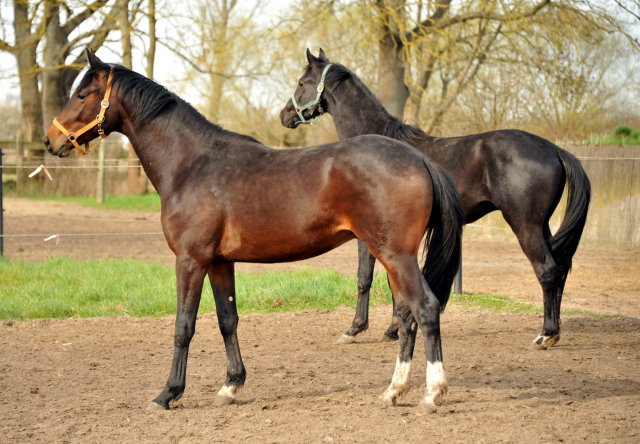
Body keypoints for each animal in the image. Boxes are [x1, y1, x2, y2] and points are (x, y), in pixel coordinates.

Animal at [46, 50, 464, 414]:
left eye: (82, 94)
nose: (51, 140)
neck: (192, 164)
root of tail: (419, 158)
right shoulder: (218, 263)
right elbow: (227, 321)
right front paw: (231, 385)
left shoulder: (190, 261)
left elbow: (184, 326)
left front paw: (168, 394)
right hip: (390, 258)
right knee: (406, 316)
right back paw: (394, 391)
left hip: (395, 256)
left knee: (425, 309)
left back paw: (431, 394)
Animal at [280, 49, 592, 350]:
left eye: (302, 82)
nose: (284, 116)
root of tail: (555, 149)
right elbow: (394, 285)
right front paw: (393, 329)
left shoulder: (369, 237)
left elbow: (365, 279)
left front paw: (356, 329)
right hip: (542, 225)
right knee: (560, 269)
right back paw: (554, 331)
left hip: (525, 224)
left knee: (547, 270)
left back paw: (546, 335)